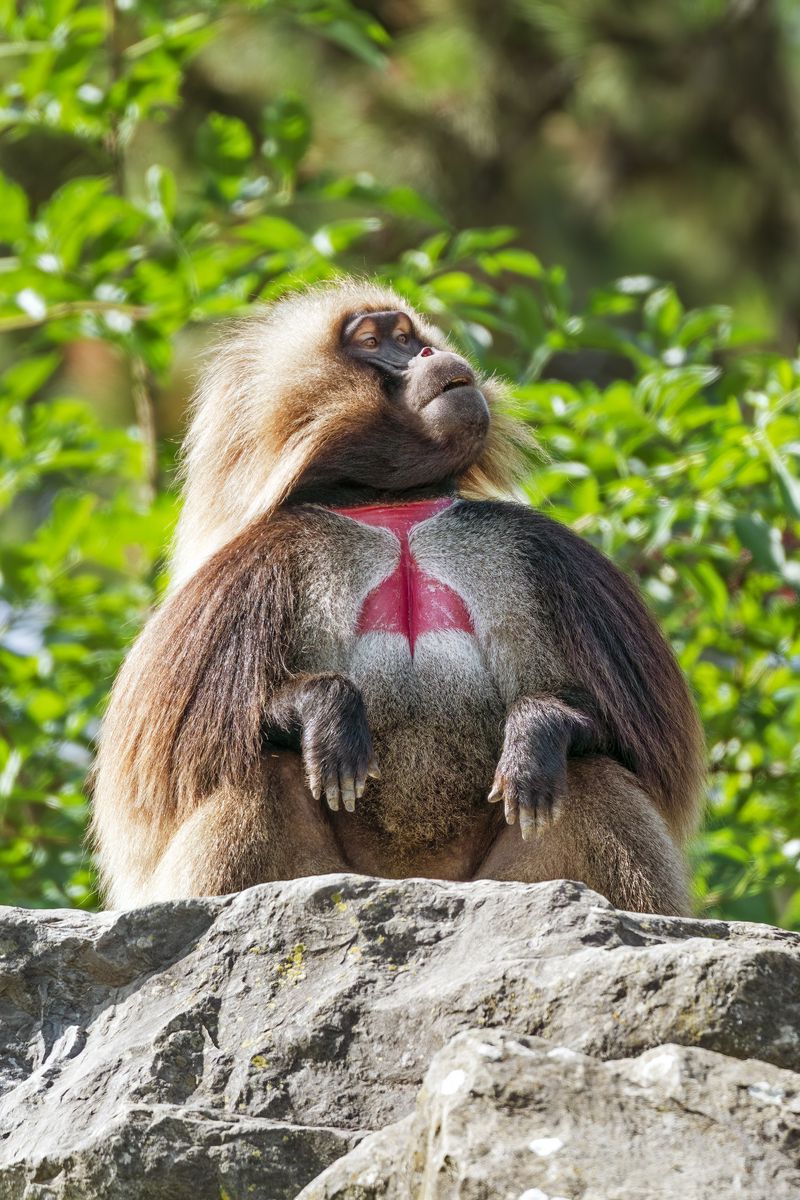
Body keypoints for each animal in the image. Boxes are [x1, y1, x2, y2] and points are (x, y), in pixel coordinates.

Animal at [91, 278, 705, 915]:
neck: (393, 507)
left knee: (588, 774)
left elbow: (644, 752)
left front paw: (536, 732)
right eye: (372, 341)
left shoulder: (546, 554)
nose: (432, 354)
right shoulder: (253, 570)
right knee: (264, 772)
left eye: (408, 337)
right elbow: (175, 774)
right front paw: (327, 712)